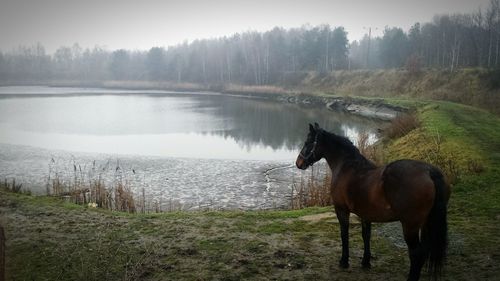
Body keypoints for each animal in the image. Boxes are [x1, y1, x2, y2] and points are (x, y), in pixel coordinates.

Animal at [294, 123, 452, 280]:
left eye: (307, 142)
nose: (298, 163)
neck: (346, 167)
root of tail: (429, 171)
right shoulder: (366, 215)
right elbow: (366, 236)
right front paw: (366, 262)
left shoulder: (341, 210)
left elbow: (344, 234)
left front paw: (344, 261)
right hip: (425, 224)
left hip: (410, 226)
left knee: (416, 254)